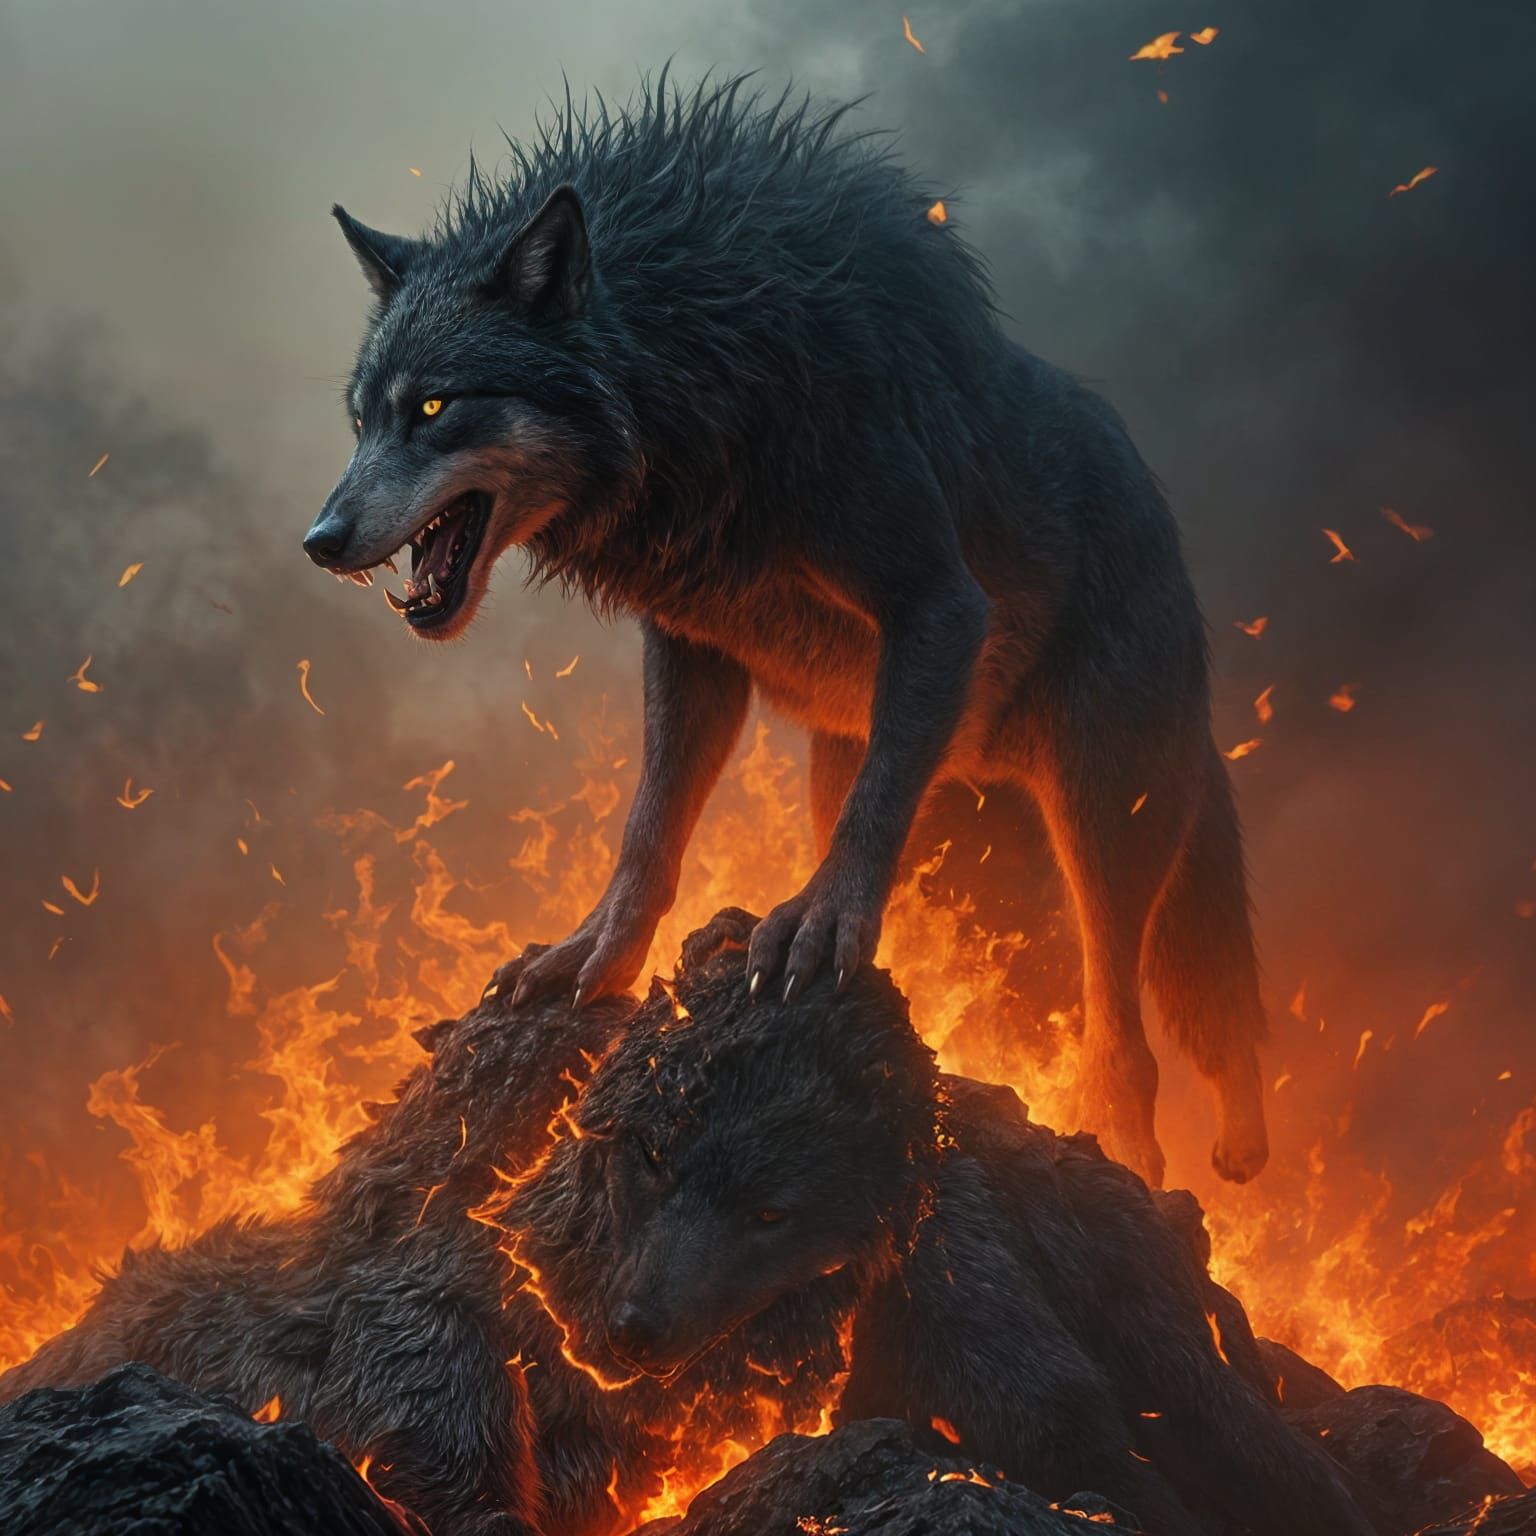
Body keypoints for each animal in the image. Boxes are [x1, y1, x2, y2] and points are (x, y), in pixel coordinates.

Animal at [304, 71, 1268, 1187]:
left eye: (433, 406)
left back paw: (1127, 1155)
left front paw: (818, 919)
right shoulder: (693, 648)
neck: (700, 375)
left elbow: (868, 820)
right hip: (857, 768)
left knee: (1126, 1025)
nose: (320, 540)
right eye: (361, 420)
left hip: (1099, 815)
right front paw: (600, 952)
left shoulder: (938, 602)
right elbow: (649, 826)